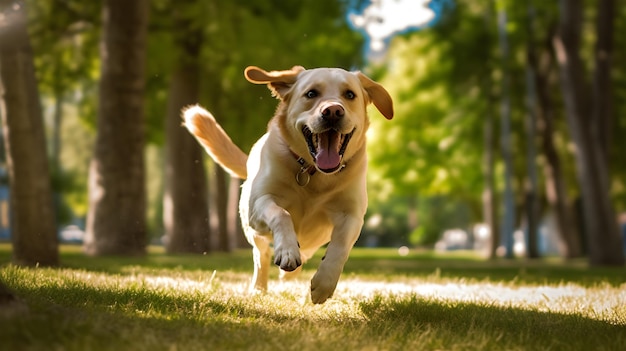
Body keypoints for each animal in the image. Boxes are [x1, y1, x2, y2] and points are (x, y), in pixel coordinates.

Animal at [183, 66, 392, 306]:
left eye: (350, 95)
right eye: (311, 93)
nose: (333, 111)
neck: (312, 172)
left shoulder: (352, 215)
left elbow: (340, 246)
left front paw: (324, 284)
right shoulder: (260, 203)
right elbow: (282, 214)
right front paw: (288, 251)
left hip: (315, 238)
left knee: (307, 252)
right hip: (252, 227)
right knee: (261, 255)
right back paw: (260, 287)